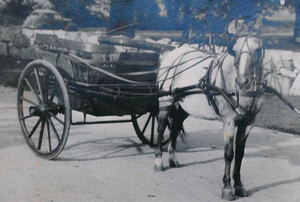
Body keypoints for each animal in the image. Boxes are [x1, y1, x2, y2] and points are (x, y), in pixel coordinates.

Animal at [156, 35, 264, 200]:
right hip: (165, 101)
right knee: (161, 129)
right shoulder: (229, 122)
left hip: (183, 107)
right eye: (235, 51)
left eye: (257, 49)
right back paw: (158, 162)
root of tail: (172, 53)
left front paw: (239, 186)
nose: (242, 81)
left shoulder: (248, 123)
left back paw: (173, 159)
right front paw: (227, 188)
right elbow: (229, 154)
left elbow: (240, 154)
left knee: (175, 129)